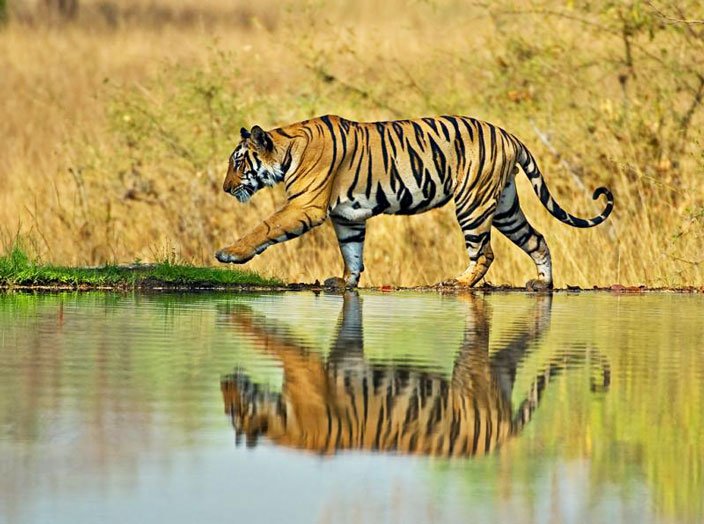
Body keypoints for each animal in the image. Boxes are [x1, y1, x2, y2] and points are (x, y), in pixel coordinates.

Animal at [215, 115, 614, 289]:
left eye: (238, 163)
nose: (225, 188)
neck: (286, 149)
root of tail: (509, 135)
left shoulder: (305, 207)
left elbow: (265, 226)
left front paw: (230, 254)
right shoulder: (348, 217)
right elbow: (352, 252)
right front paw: (344, 282)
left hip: (472, 205)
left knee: (484, 252)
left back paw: (458, 283)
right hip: (504, 207)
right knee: (537, 239)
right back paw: (542, 284)